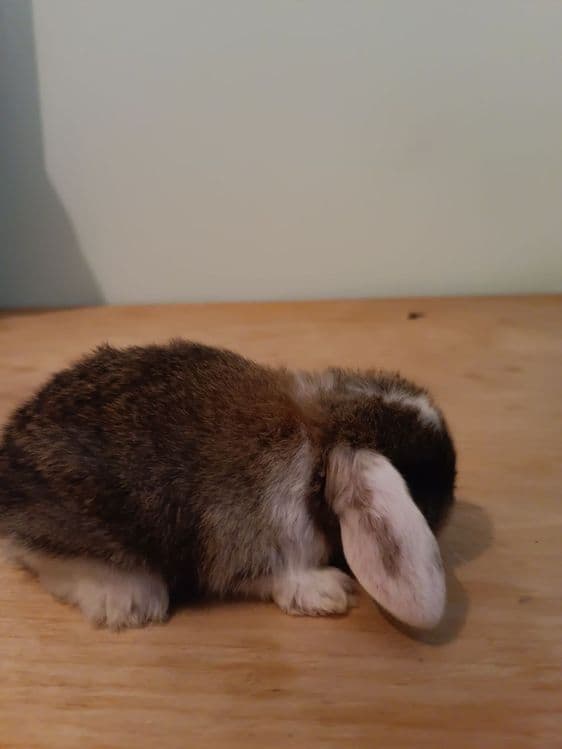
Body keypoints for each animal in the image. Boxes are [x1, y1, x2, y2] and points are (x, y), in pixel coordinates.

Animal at [0, 340, 456, 630]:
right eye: (425, 480)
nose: (451, 502)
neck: (318, 452)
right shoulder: (247, 549)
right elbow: (275, 574)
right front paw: (330, 592)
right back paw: (130, 602)